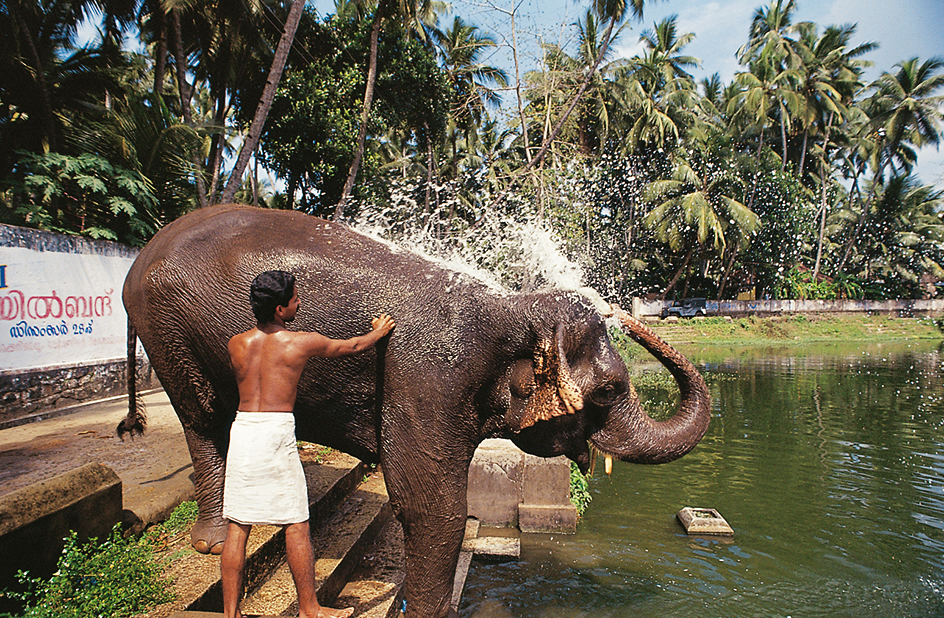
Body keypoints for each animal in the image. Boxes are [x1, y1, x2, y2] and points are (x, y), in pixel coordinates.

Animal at [118, 203, 708, 616]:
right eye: (608, 391)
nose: (623, 312)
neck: (510, 310)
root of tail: (140, 257)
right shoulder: (426, 377)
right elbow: (431, 507)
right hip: (167, 331)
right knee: (202, 419)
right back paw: (212, 540)